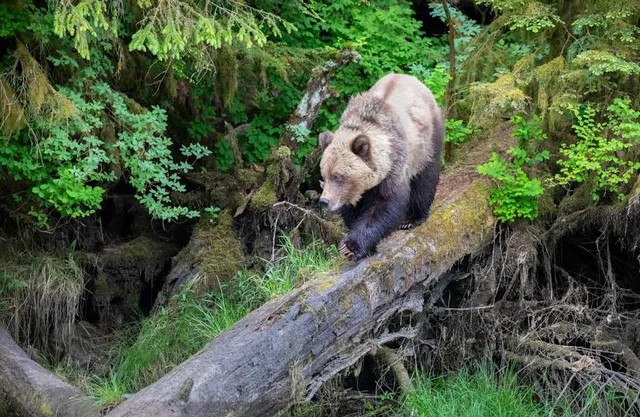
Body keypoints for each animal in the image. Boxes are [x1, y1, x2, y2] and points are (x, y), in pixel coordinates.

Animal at [318, 73, 445, 262]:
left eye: (338, 176)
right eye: (324, 176)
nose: (324, 201)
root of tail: (411, 78)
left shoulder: (394, 165)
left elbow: (385, 206)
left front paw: (351, 247)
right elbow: (353, 210)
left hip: (428, 140)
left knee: (426, 177)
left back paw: (413, 218)